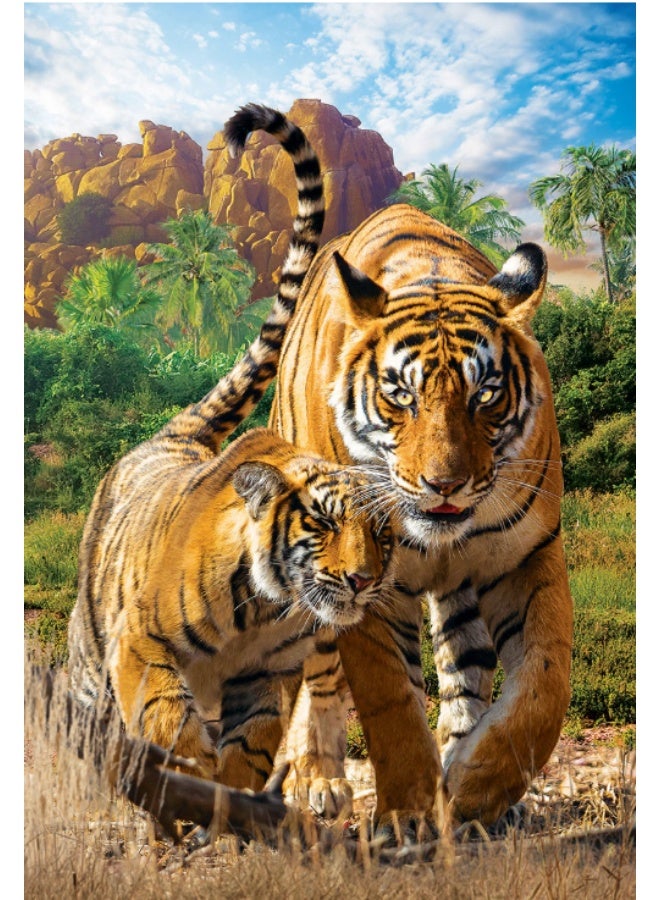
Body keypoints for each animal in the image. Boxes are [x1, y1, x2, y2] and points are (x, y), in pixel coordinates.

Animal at [66, 105, 393, 794]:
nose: (362, 580)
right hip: (90, 650)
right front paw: (187, 777)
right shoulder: (140, 643)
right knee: (92, 710)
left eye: (383, 534)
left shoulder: (269, 676)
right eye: (323, 523)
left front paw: (231, 795)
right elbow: (168, 718)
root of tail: (174, 435)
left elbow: (253, 744)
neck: (267, 611)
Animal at [224, 104, 573, 826]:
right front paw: (410, 815)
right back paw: (319, 780)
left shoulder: (528, 556)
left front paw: (476, 789)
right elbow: (391, 704)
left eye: (485, 394)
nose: (444, 486)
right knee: (320, 673)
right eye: (399, 395)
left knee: (465, 668)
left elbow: (542, 689)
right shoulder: (363, 584)